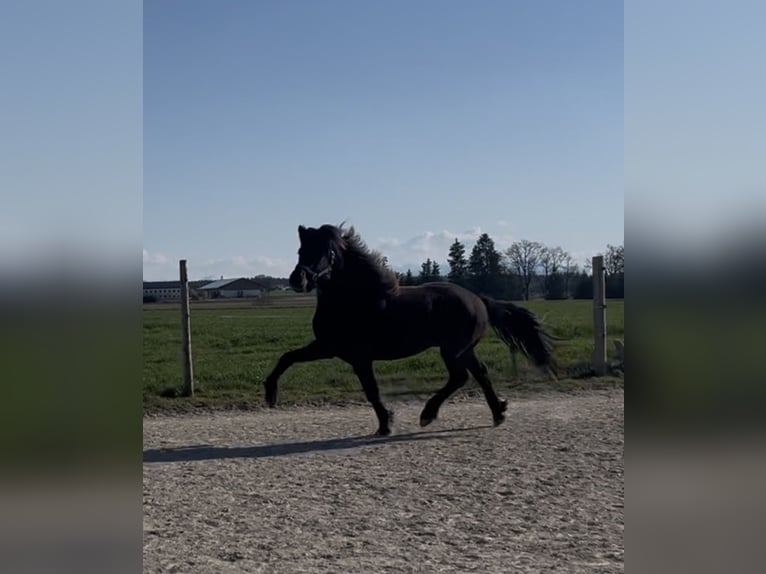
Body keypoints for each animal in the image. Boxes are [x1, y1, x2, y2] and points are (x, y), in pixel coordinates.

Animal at [264, 224, 556, 436]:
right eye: (301, 250)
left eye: (326, 252)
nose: (297, 279)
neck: (355, 300)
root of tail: (479, 299)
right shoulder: (326, 348)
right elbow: (287, 358)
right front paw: (270, 395)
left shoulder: (354, 356)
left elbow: (372, 391)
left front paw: (386, 424)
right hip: (462, 350)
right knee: (479, 374)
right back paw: (498, 413)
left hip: (452, 349)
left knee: (460, 377)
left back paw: (429, 414)